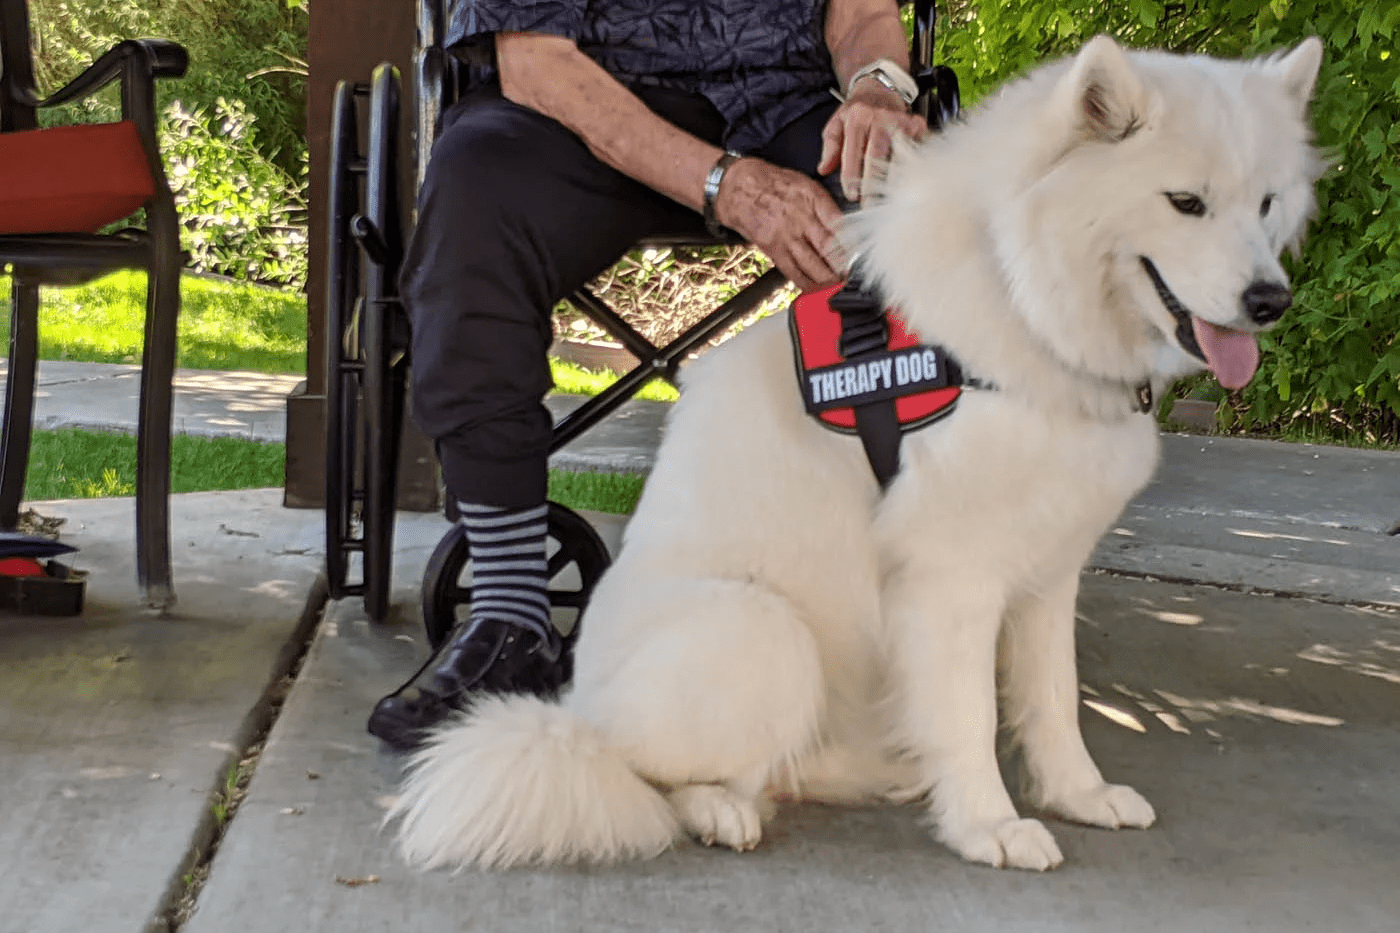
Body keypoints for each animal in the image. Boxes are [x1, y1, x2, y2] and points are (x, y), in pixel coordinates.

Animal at [388, 35, 1325, 872]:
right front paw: (991, 825)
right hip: (763, 629)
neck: (1023, 302)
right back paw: (719, 810)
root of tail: (577, 712)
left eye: (1266, 204)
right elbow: (970, 715)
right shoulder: (950, 578)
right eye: (1185, 202)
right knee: (641, 770)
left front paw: (1078, 796)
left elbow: (1053, 701)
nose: (1269, 301)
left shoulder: (1047, 573)